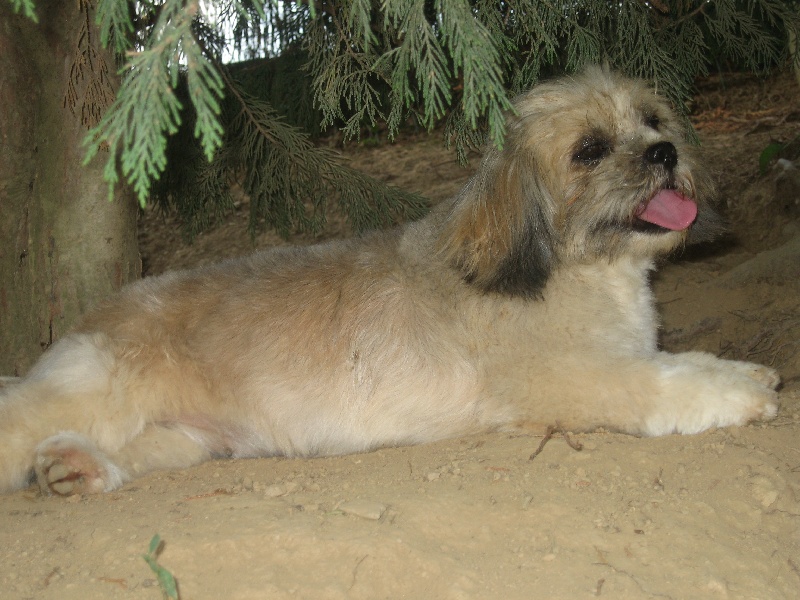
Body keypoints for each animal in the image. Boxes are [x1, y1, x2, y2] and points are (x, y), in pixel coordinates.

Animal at [0, 65, 780, 496]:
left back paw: (75, 469)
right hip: (89, 393)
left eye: (653, 119)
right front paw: (743, 389)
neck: (569, 267)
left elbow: (677, 360)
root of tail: (95, 314)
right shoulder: (578, 379)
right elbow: (668, 382)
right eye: (589, 150)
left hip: (190, 440)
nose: (664, 152)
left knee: (126, 454)